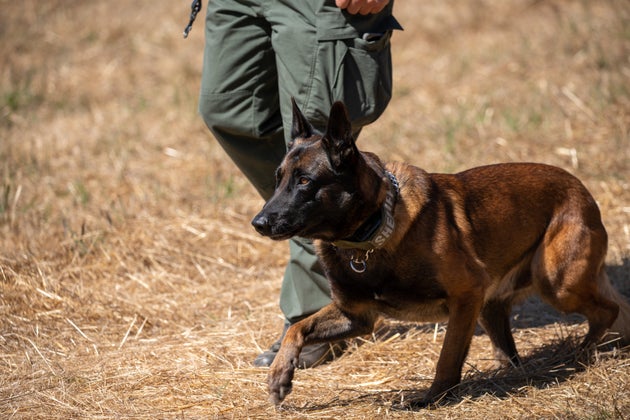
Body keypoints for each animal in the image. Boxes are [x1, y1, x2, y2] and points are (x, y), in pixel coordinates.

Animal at [252, 98, 630, 406]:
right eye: (278, 179)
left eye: (305, 181)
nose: (259, 222)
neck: (372, 233)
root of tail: (581, 188)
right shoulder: (356, 317)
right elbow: (297, 329)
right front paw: (279, 375)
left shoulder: (466, 296)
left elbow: (448, 356)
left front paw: (431, 397)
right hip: (494, 306)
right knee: (514, 350)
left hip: (556, 283)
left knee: (607, 311)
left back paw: (580, 355)